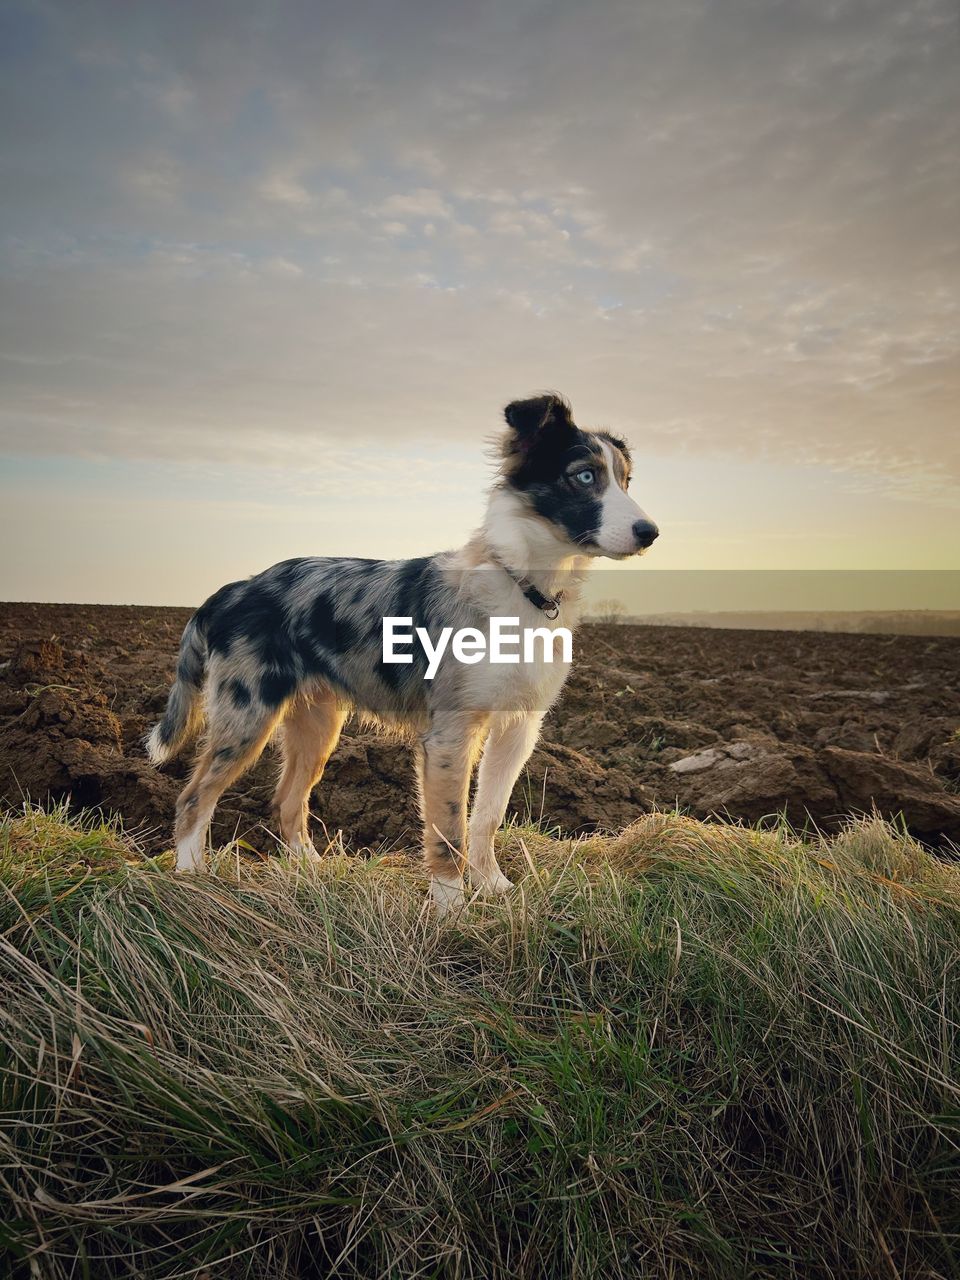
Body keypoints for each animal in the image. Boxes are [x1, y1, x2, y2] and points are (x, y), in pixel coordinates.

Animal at [148, 394, 660, 916]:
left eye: (625, 480)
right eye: (584, 476)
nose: (650, 532)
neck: (525, 587)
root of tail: (235, 589)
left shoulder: (518, 728)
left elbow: (487, 816)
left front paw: (493, 887)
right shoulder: (450, 734)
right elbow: (450, 826)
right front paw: (451, 909)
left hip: (319, 724)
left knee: (288, 801)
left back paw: (313, 873)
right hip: (248, 715)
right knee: (194, 797)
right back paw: (192, 878)